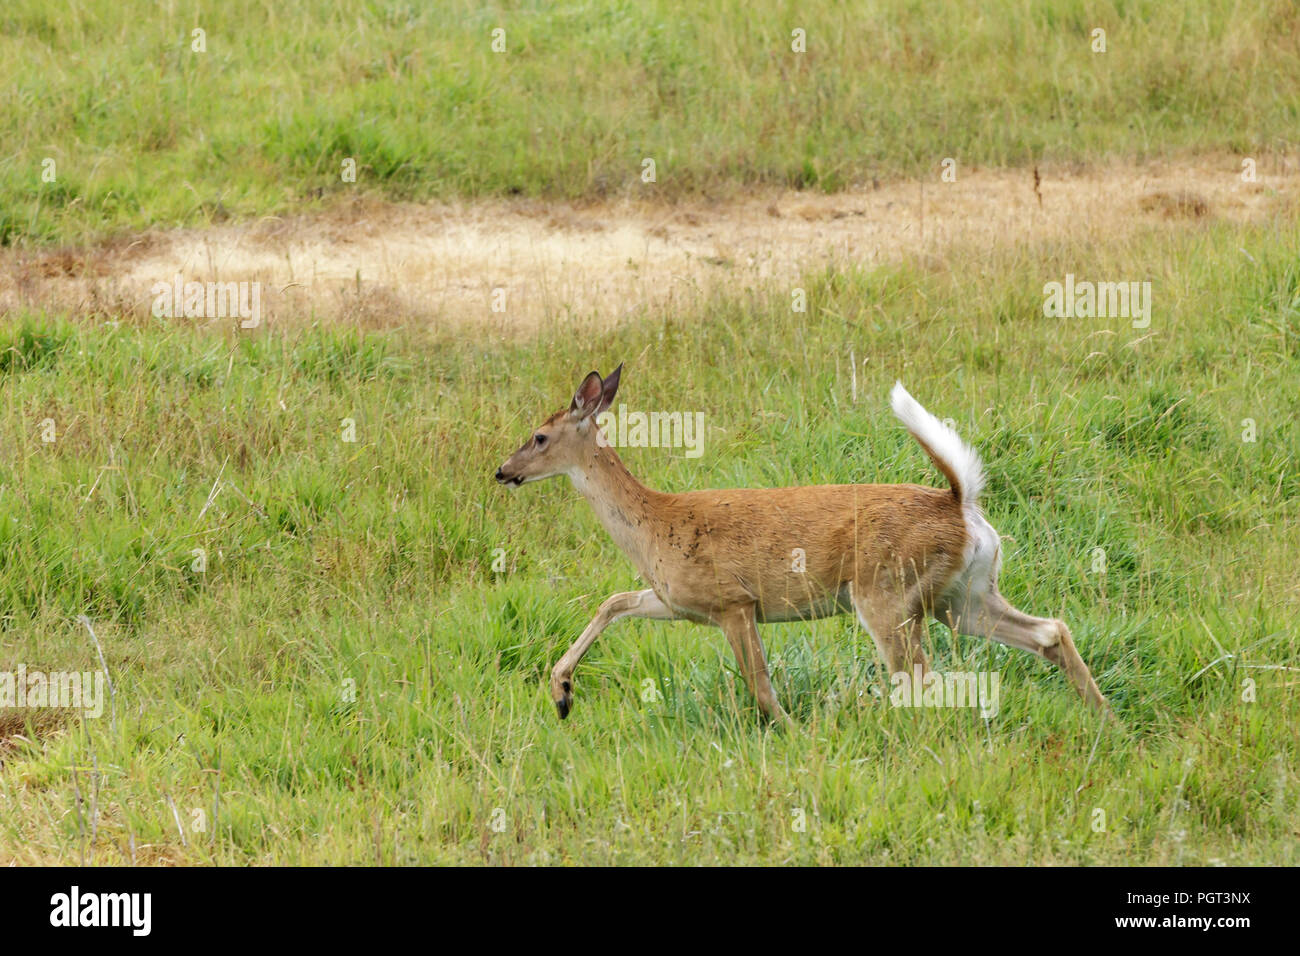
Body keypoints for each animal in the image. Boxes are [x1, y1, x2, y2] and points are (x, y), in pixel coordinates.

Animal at [496, 366, 1107, 723]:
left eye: (540, 436)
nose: (503, 471)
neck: (654, 523)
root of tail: (961, 502)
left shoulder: (733, 601)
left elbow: (760, 685)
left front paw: (790, 729)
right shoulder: (680, 602)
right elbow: (614, 601)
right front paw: (561, 692)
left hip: (885, 593)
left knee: (918, 673)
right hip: (962, 596)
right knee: (1048, 631)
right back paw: (1104, 716)